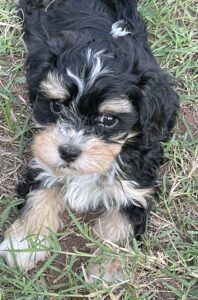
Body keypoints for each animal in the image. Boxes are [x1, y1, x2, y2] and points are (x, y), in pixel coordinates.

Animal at [0, 0, 179, 276]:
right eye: (56, 106)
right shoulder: (44, 160)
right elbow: (39, 195)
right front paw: (24, 243)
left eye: (108, 120)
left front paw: (107, 267)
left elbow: (121, 223)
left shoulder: (137, 183)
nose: (68, 152)